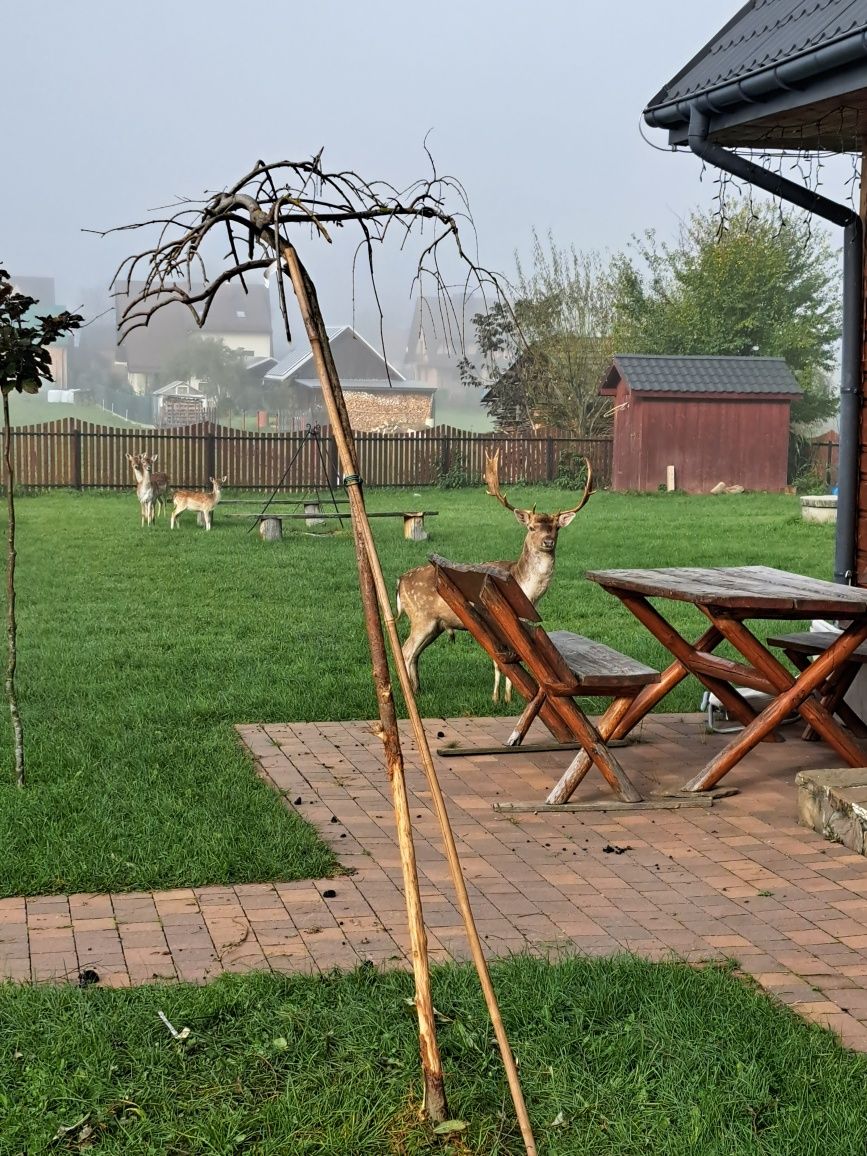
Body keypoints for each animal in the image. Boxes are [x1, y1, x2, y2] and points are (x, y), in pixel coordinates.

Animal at [397, 446, 596, 688]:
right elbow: (501, 663)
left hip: (435, 624)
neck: (527, 591)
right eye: (531, 527)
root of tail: (399, 582)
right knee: (406, 651)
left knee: (415, 653)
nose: (548, 542)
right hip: (421, 617)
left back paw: (417, 688)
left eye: (556, 528)